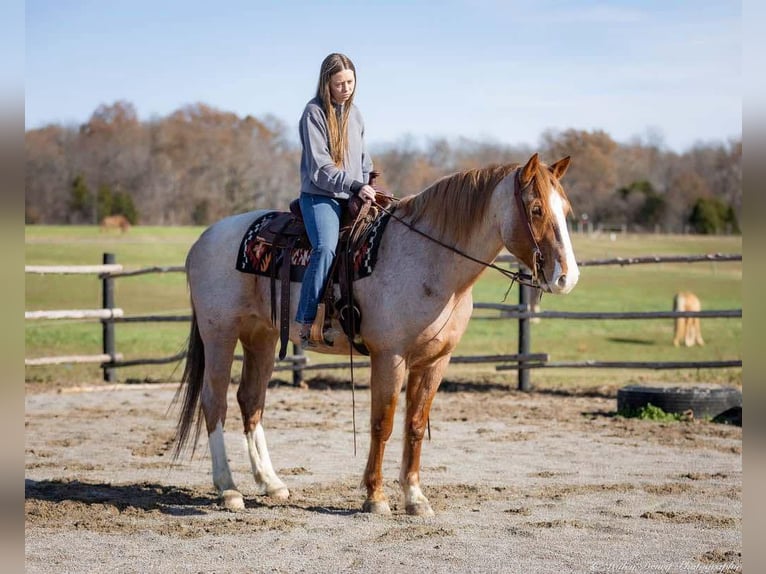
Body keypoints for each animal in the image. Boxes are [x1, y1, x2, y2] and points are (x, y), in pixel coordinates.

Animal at [174, 153, 584, 516]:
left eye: (565, 210)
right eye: (536, 209)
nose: (567, 277)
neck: (429, 261)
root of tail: (204, 240)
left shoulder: (435, 362)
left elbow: (414, 426)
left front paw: (415, 498)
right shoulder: (390, 357)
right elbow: (382, 424)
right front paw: (375, 497)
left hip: (261, 336)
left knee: (250, 401)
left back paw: (270, 483)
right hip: (220, 335)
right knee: (215, 402)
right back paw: (228, 488)